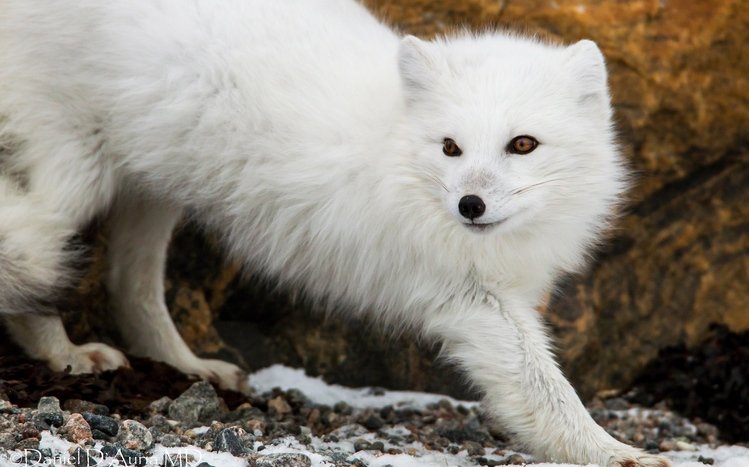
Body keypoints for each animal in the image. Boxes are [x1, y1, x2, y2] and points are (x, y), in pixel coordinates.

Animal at [0, 0, 670, 465]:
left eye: (523, 144)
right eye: (451, 147)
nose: (469, 205)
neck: (396, 148)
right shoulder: (469, 298)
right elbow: (546, 388)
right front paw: (613, 451)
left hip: (154, 190)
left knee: (128, 283)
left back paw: (184, 365)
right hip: (78, 178)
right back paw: (65, 355)